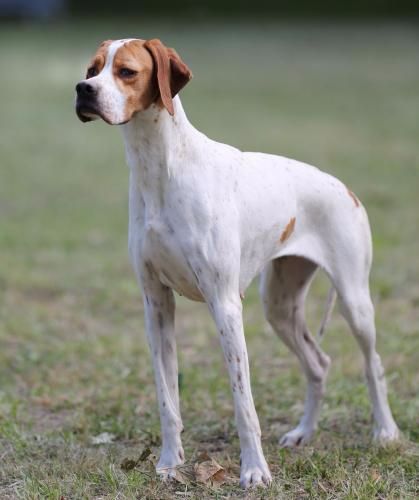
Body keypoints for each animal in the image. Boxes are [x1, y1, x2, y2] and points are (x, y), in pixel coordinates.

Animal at [74, 38, 400, 488]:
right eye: (91, 69)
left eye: (126, 72)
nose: (83, 90)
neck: (161, 169)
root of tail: (344, 188)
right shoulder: (156, 306)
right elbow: (167, 400)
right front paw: (170, 463)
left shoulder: (225, 305)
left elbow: (244, 403)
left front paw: (254, 471)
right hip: (279, 307)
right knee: (318, 364)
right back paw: (303, 433)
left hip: (354, 301)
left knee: (373, 363)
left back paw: (385, 431)